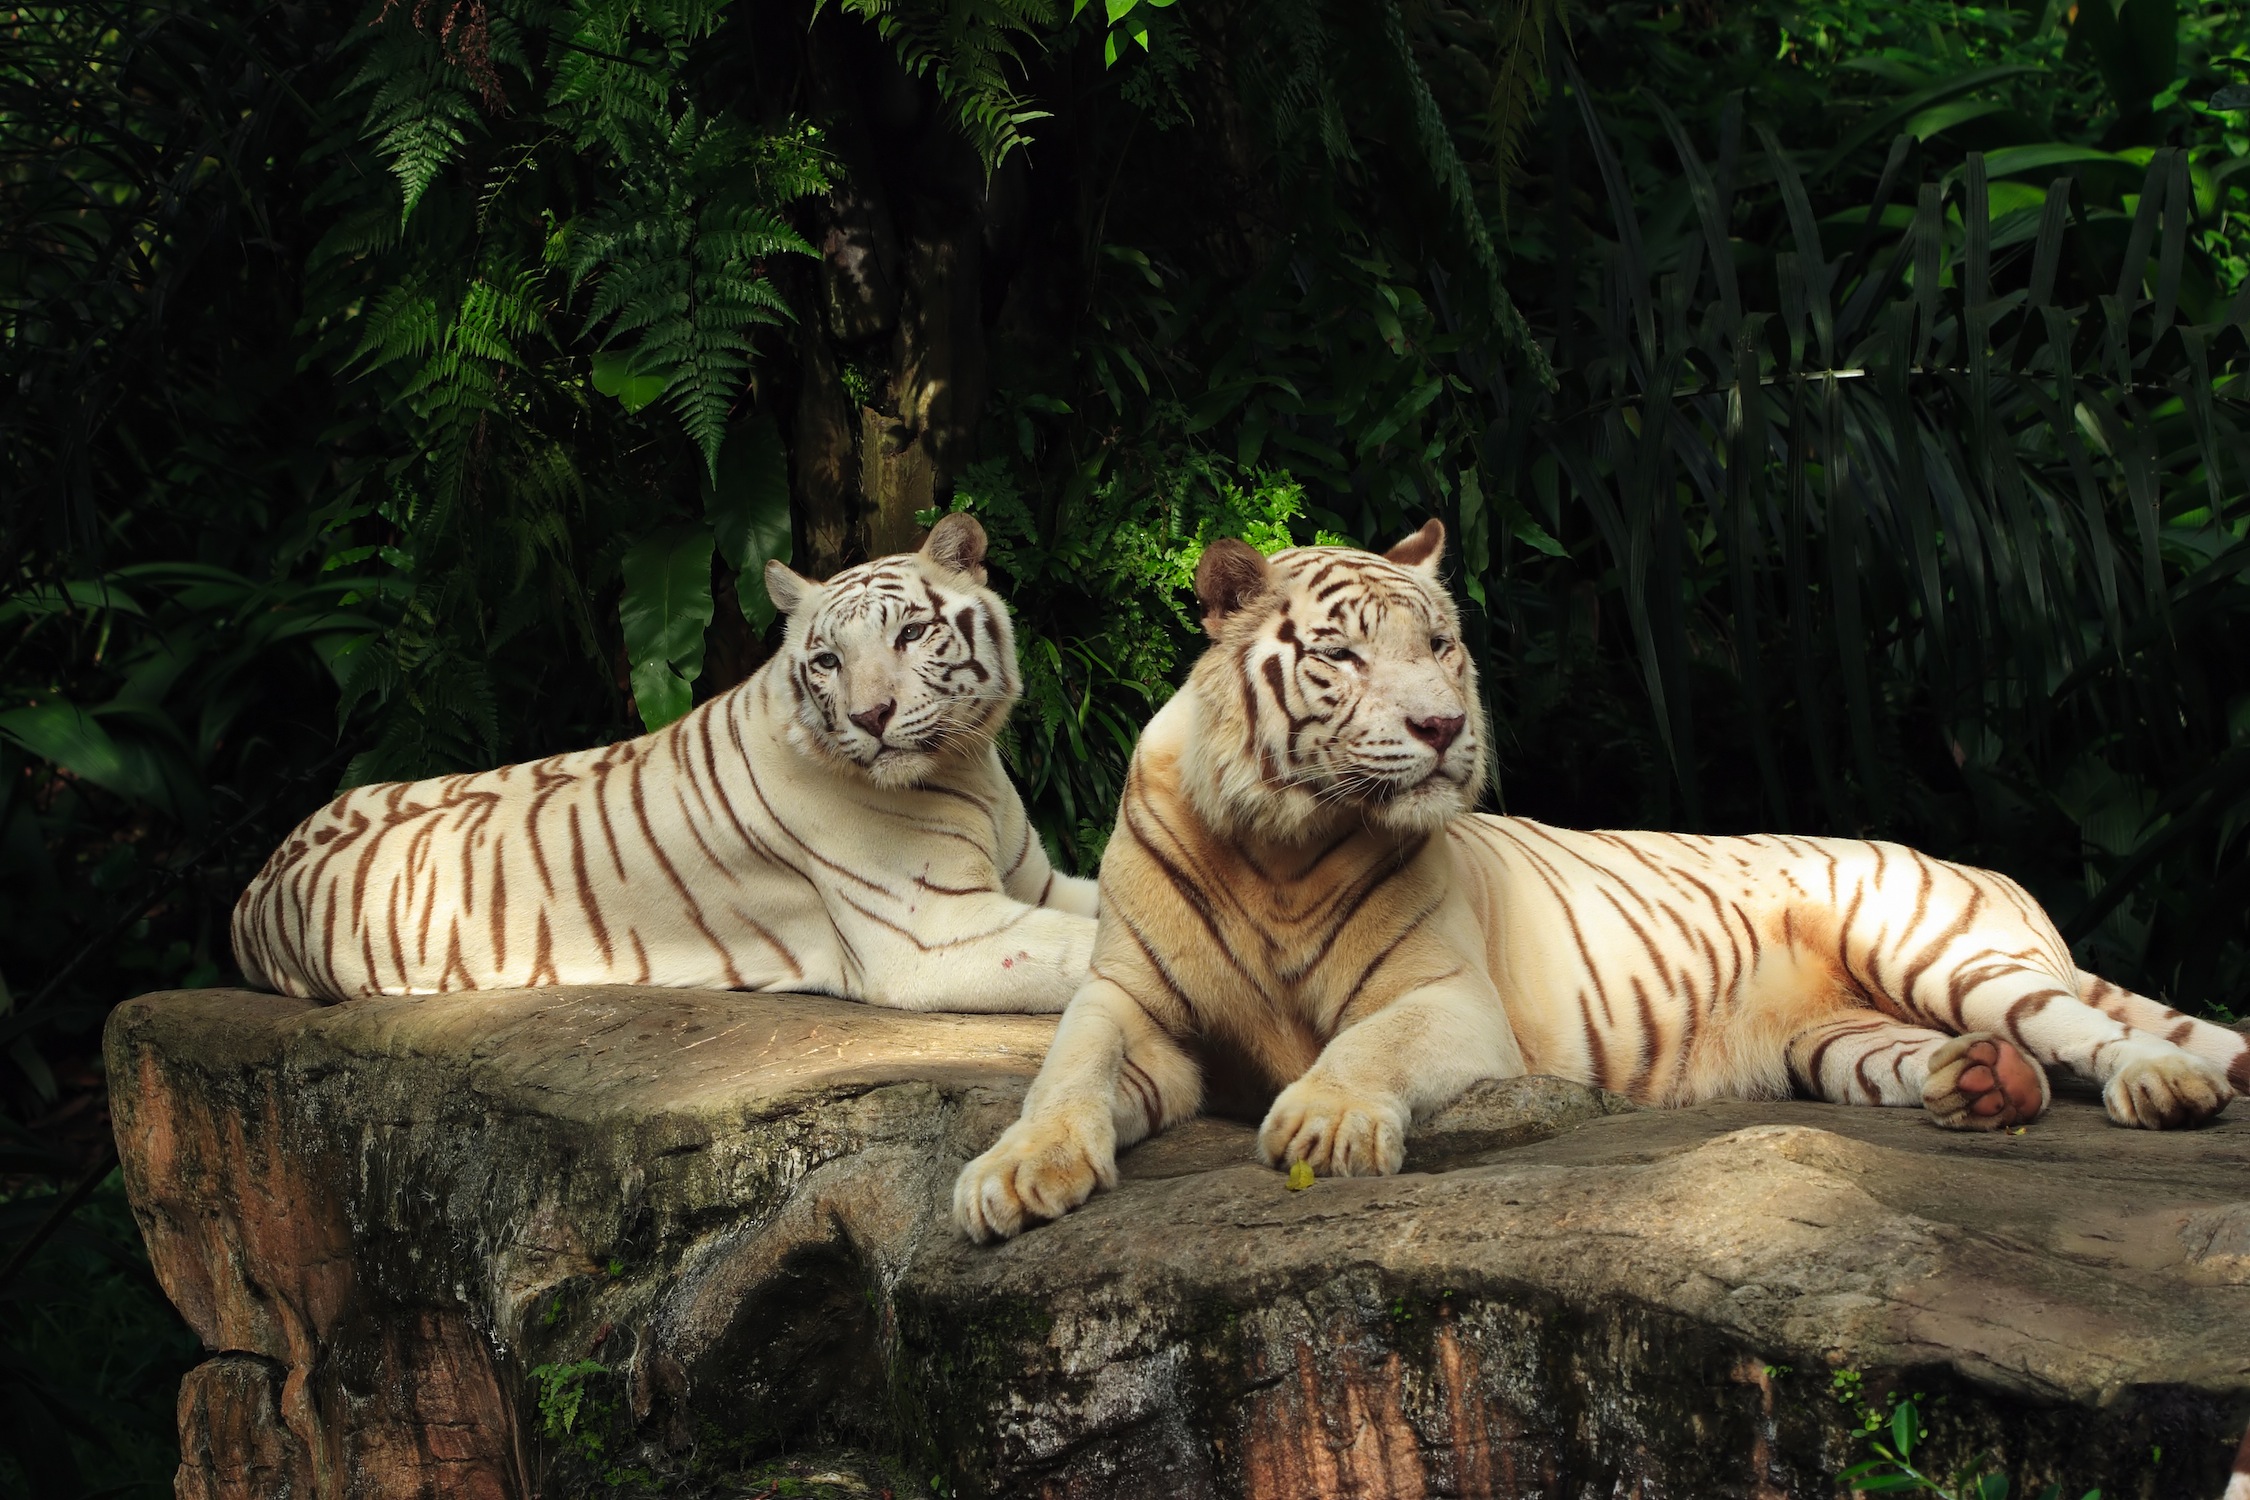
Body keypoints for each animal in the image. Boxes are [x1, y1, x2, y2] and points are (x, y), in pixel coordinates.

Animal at [235, 512, 1098, 1007]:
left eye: (912, 635)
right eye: (826, 661)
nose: (869, 717)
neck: (967, 765)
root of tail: (252, 891)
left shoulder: (1035, 882)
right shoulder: (936, 933)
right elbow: (1087, 949)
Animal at [954, 519, 2250, 1241]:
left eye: (1441, 645)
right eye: (1342, 656)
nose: (1442, 728)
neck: (1277, 841)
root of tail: (1991, 873)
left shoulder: (1443, 999)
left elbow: (1362, 1049)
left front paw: (1325, 1120)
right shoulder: (1130, 1002)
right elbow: (1063, 1073)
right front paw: (1012, 1178)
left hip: (1937, 949)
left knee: (2092, 1026)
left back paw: (2162, 1088)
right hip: (1835, 1040)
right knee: (1964, 1057)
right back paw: (1984, 1087)